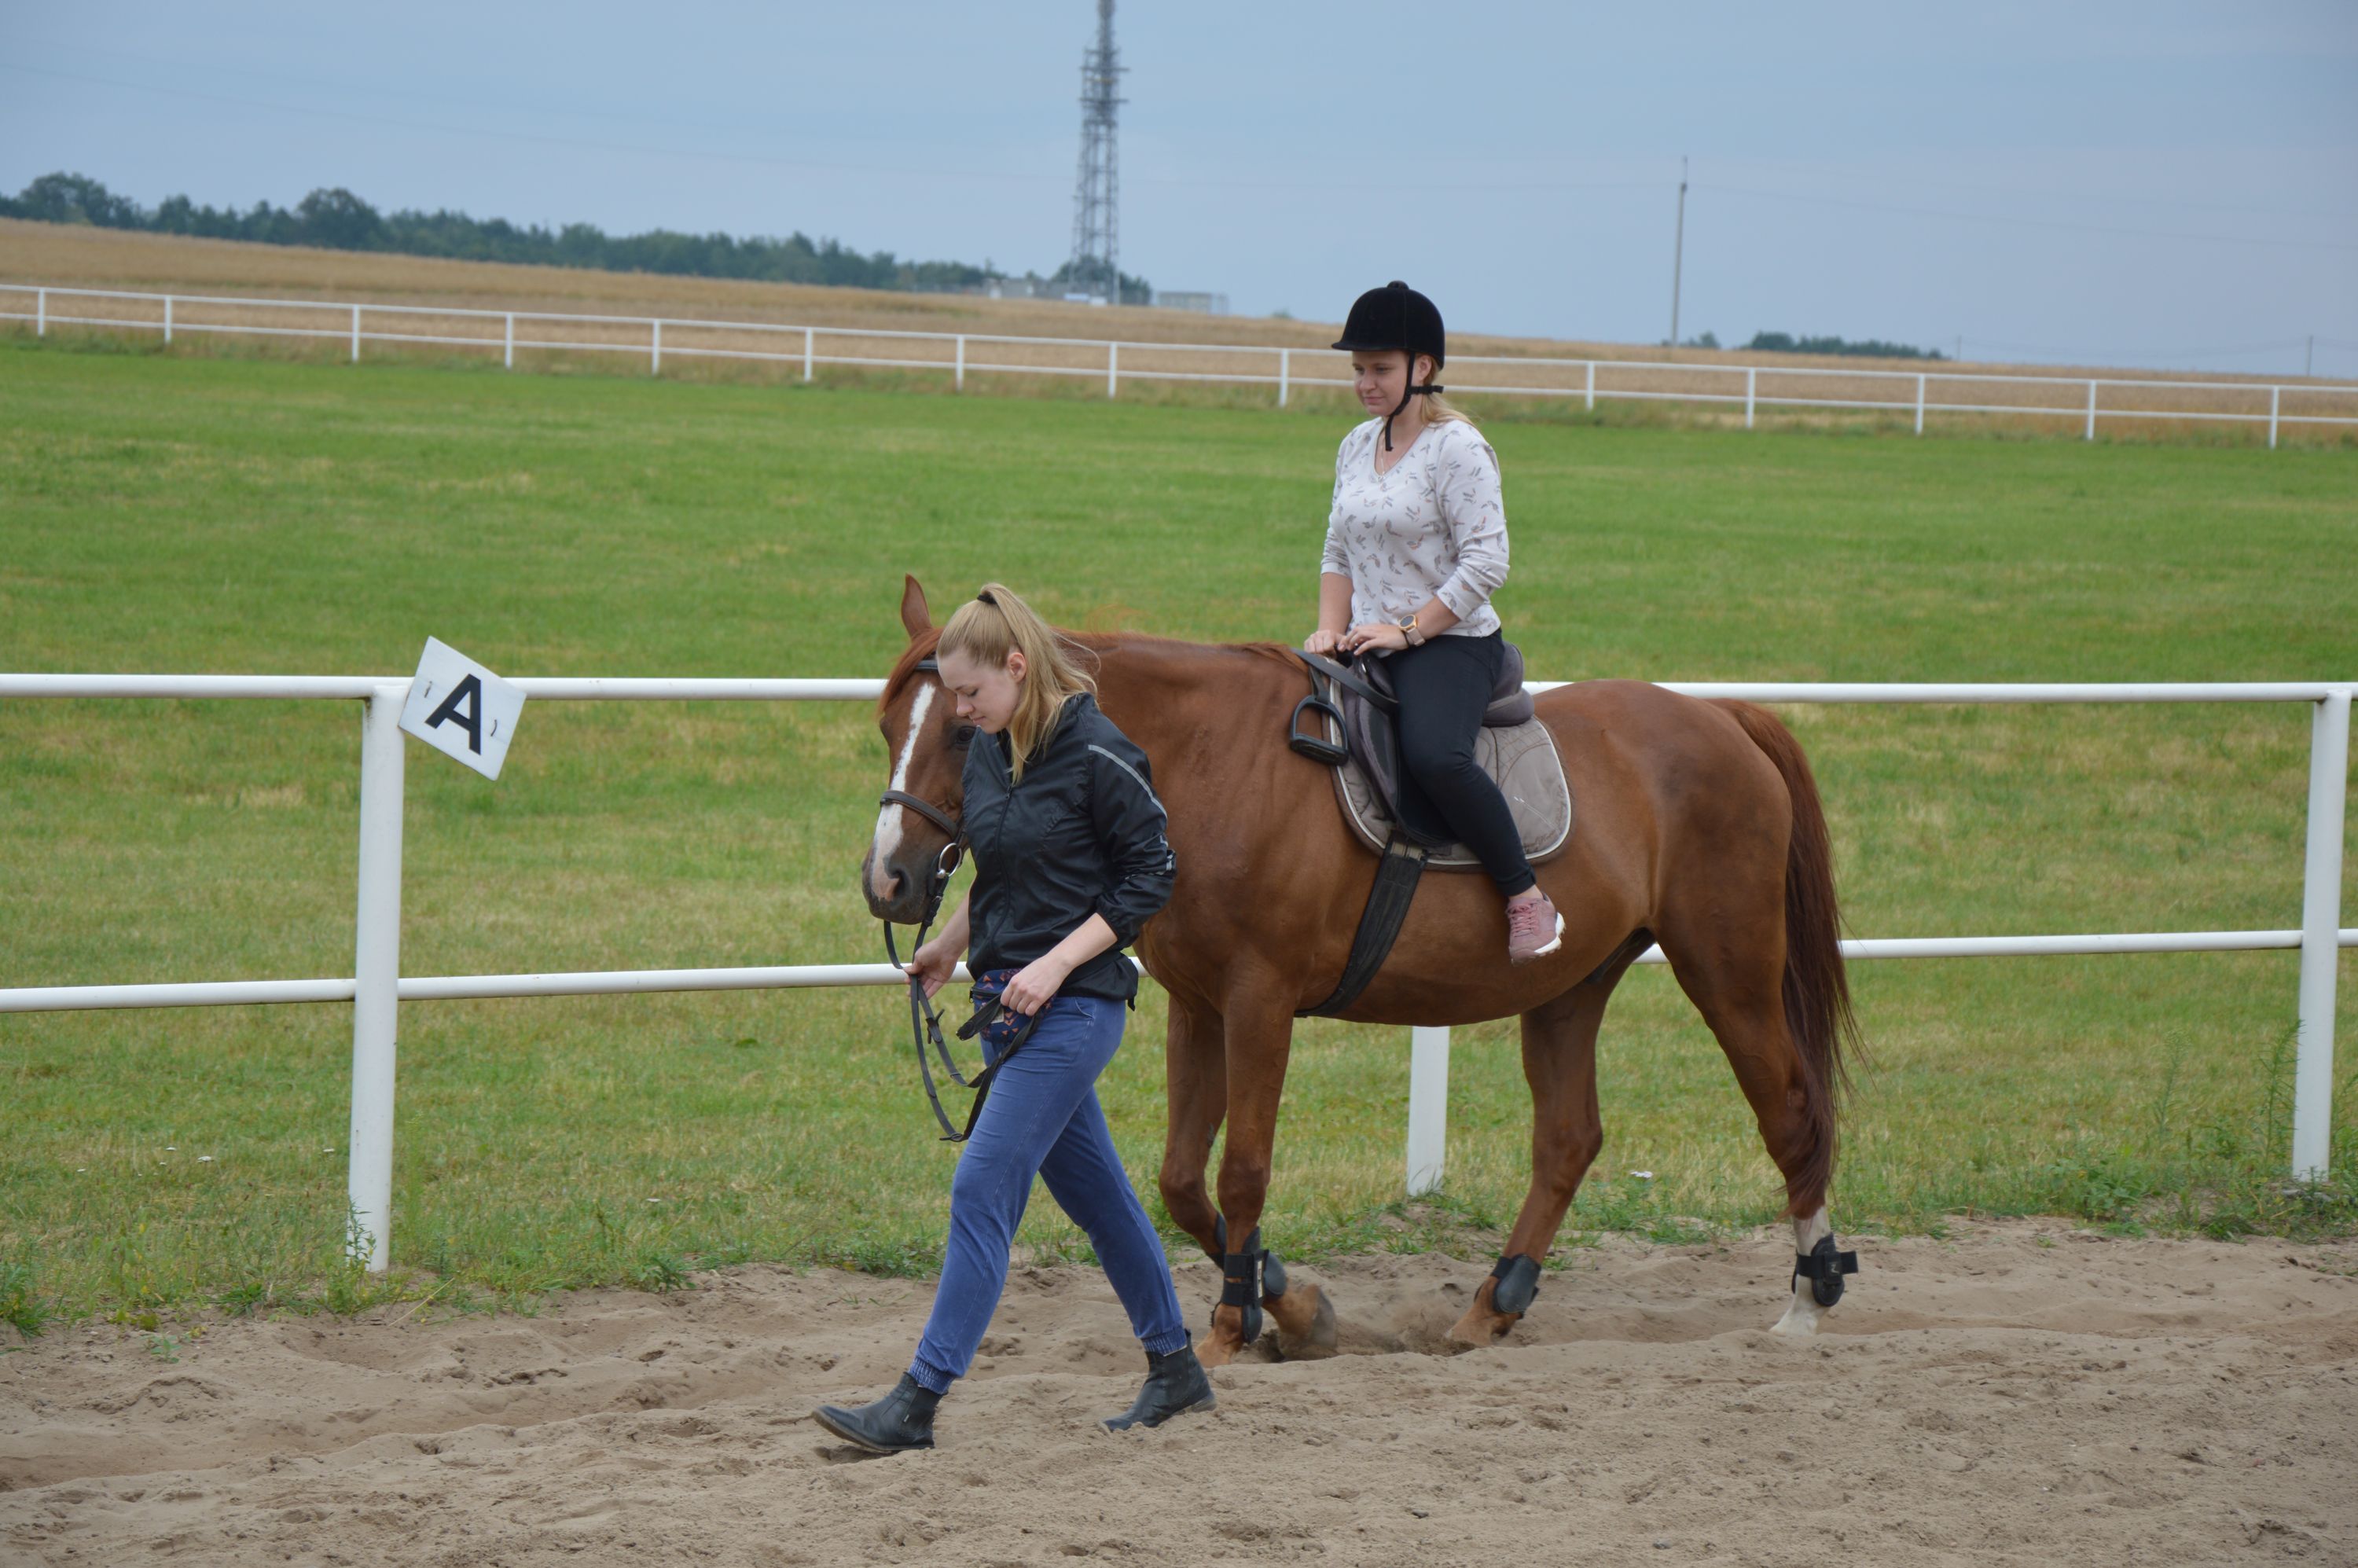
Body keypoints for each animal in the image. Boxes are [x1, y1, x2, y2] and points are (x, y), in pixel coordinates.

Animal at [862, 577, 1860, 1366]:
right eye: (884, 725)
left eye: (961, 728)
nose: (889, 881)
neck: (1205, 761)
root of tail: (1722, 716)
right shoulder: (1199, 1007)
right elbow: (1182, 1179)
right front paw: (1291, 1304)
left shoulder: (1259, 1003)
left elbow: (1242, 1170)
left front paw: (1232, 1326)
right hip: (1571, 986)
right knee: (1569, 1139)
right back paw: (1493, 1305)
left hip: (1728, 969)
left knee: (1789, 1113)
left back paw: (1807, 1302)